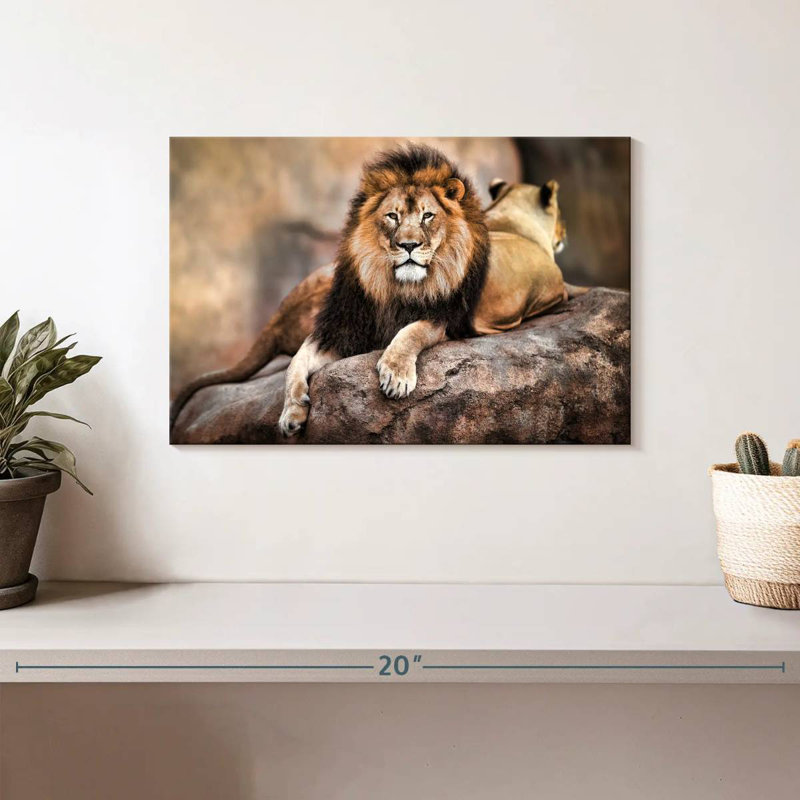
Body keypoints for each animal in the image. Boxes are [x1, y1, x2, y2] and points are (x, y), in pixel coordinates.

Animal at [169, 147, 579, 439]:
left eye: (428, 216)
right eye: (392, 216)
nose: (409, 245)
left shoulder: (442, 316)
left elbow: (410, 332)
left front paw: (395, 373)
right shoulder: (342, 329)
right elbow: (297, 363)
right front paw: (291, 411)